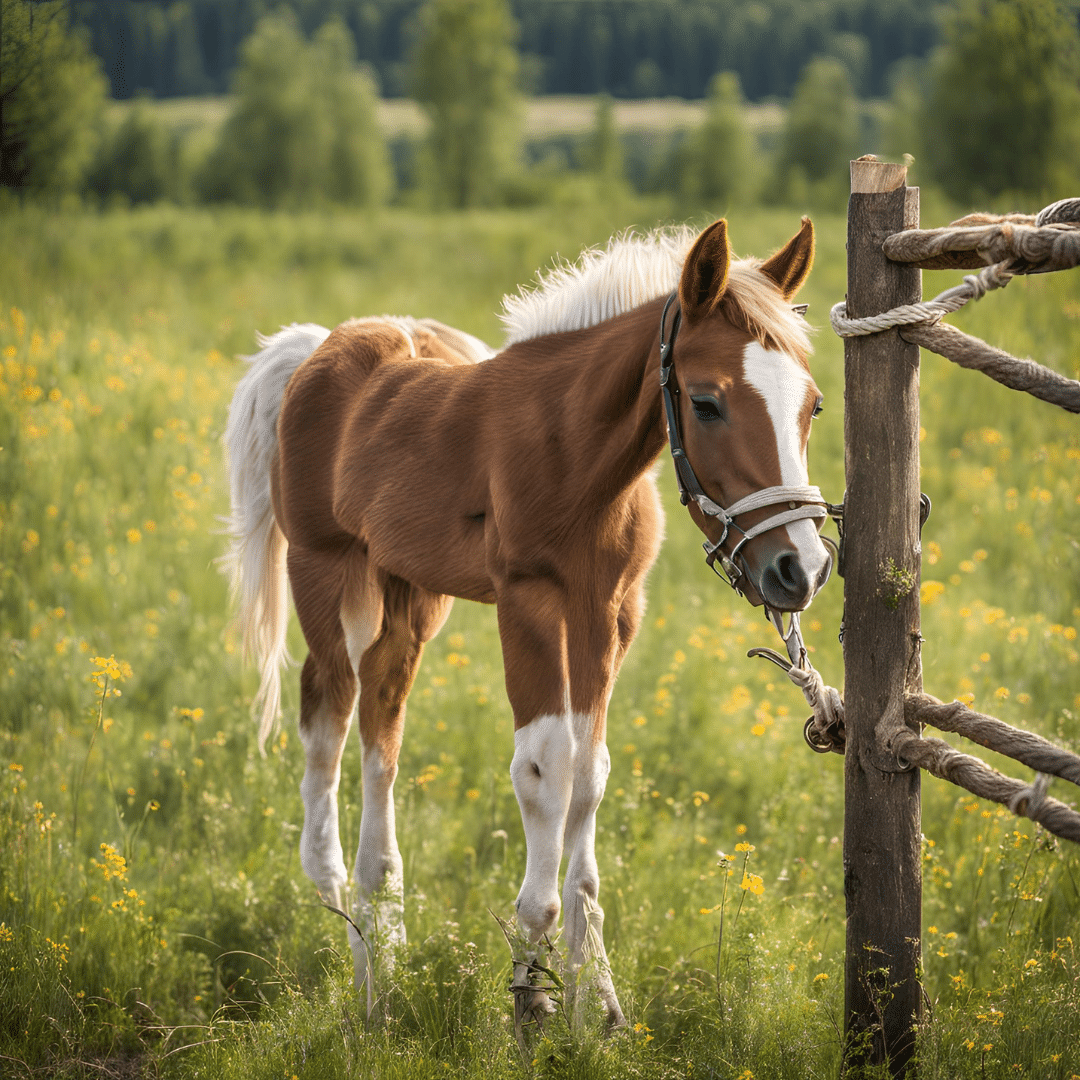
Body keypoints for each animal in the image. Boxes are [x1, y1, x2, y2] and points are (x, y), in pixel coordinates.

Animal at [225, 219, 833, 1036]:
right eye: (706, 403)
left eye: (813, 405)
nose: (800, 569)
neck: (575, 453)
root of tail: (319, 346)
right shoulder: (530, 604)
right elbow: (546, 769)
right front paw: (534, 989)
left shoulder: (611, 612)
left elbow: (590, 772)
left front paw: (596, 996)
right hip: (324, 572)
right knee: (329, 716)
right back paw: (347, 926)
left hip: (412, 593)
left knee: (383, 719)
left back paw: (384, 934)